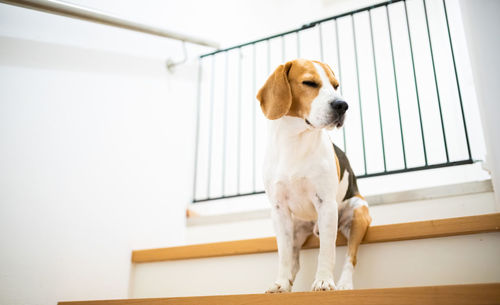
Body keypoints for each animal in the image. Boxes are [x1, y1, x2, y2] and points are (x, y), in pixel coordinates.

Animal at [258, 58, 372, 290]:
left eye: (335, 86)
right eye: (309, 83)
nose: (342, 105)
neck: (295, 141)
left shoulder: (326, 204)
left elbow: (327, 251)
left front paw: (324, 281)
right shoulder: (279, 210)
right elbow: (284, 256)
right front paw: (280, 284)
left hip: (358, 212)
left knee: (351, 256)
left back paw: (344, 284)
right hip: (295, 228)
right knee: (294, 262)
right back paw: (287, 283)